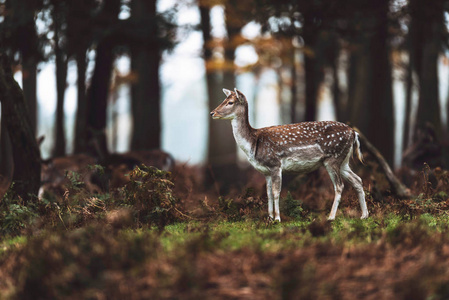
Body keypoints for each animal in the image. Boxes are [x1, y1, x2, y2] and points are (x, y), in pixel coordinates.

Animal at [210, 88, 368, 221]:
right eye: (224, 100)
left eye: (230, 102)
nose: (212, 113)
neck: (253, 143)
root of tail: (354, 133)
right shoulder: (265, 171)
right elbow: (268, 193)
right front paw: (269, 218)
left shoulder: (275, 164)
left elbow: (276, 192)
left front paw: (277, 219)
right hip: (344, 161)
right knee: (357, 180)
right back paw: (364, 215)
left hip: (333, 158)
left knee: (339, 186)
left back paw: (331, 217)